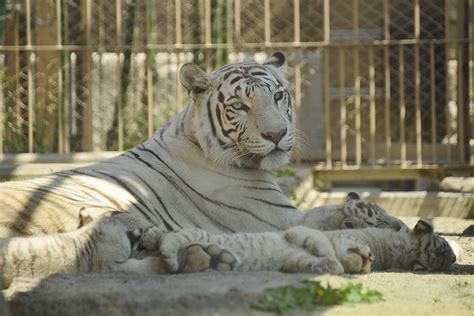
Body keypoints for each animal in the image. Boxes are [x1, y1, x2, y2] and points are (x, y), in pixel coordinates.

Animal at [0, 53, 408, 286]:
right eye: (240, 106)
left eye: (278, 96)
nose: (277, 134)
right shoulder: (273, 215)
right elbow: (313, 219)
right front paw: (367, 218)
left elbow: (322, 213)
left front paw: (365, 212)